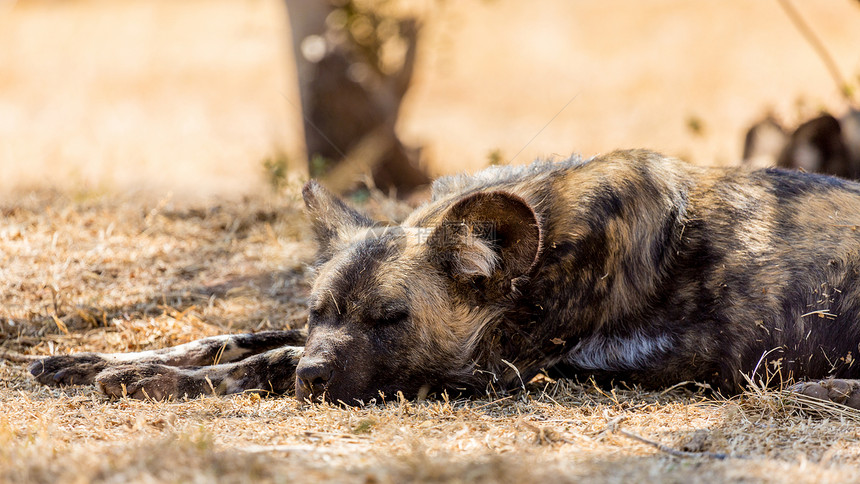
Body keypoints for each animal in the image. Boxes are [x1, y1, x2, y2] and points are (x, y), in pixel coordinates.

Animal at [26, 149, 860, 406]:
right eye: (322, 310)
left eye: (391, 320)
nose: (318, 378)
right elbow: (239, 336)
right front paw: (88, 361)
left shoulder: (488, 374)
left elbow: (266, 360)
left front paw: (148, 381)